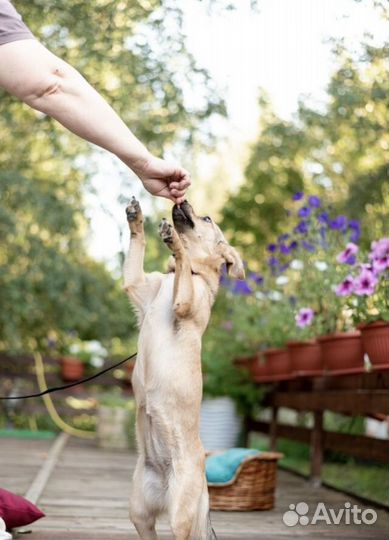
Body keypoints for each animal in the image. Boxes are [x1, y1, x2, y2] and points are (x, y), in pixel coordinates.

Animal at [123, 197, 244, 540]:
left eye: (207, 218)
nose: (183, 199)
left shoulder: (185, 304)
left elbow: (182, 267)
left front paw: (174, 241)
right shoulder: (136, 285)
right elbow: (137, 248)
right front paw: (136, 218)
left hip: (179, 517)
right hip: (139, 513)